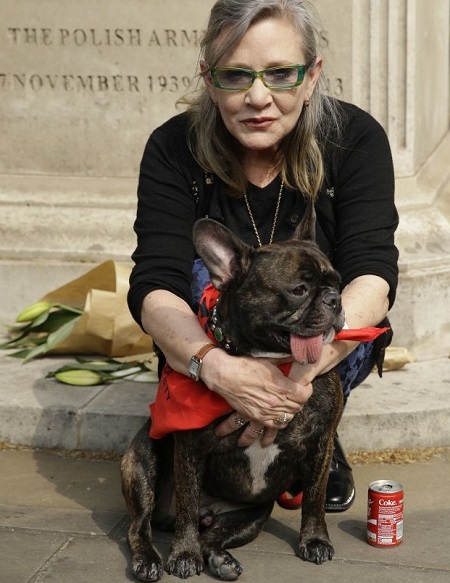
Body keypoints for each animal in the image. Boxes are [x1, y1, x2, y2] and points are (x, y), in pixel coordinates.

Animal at [119, 198, 344, 580]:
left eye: (337, 282)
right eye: (299, 289)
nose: (335, 299)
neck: (272, 362)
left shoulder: (320, 442)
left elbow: (314, 497)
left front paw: (315, 540)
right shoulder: (189, 447)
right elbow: (188, 501)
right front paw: (183, 553)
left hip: (252, 514)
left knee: (215, 537)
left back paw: (222, 560)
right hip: (142, 463)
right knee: (141, 526)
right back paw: (150, 558)